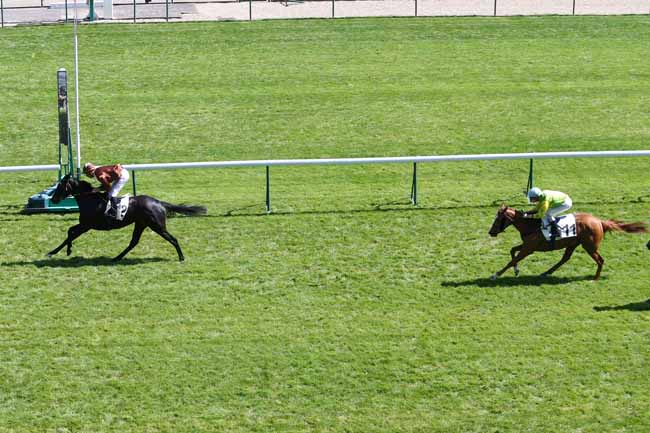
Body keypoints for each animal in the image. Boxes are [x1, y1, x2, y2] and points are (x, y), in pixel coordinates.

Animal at [48, 175, 207, 262]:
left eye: (60, 186)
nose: (53, 199)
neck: (89, 199)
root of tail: (159, 202)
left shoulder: (87, 225)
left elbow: (70, 234)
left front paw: (59, 251)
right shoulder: (85, 225)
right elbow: (70, 232)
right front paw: (60, 251)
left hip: (157, 225)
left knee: (173, 239)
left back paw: (181, 257)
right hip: (141, 224)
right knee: (133, 242)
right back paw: (116, 257)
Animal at [488, 204, 648, 280]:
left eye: (498, 219)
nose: (491, 232)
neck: (531, 225)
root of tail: (599, 221)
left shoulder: (529, 248)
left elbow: (512, 259)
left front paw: (496, 275)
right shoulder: (528, 245)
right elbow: (512, 251)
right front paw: (516, 270)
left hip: (589, 246)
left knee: (600, 260)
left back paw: (595, 278)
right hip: (573, 244)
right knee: (565, 258)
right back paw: (546, 272)